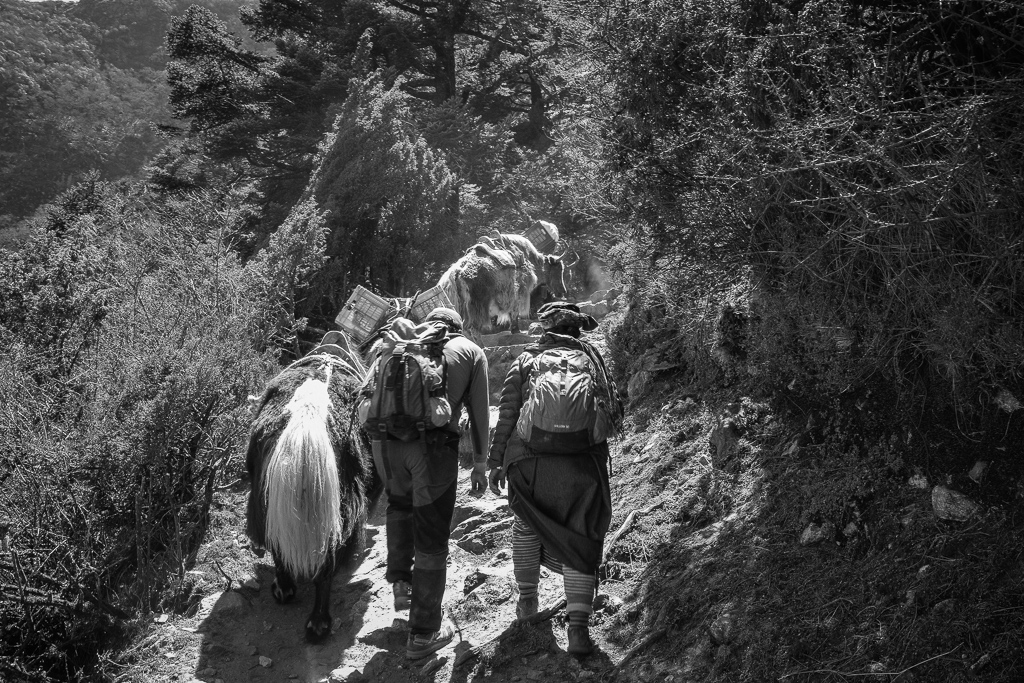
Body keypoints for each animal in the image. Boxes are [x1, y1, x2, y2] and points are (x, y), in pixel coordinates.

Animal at [244, 332, 382, 641]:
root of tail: (307, 413)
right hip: (339, 509)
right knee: (326, 564)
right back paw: (319, 623)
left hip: (266, 496)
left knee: (277, 541)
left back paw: (284, 589)